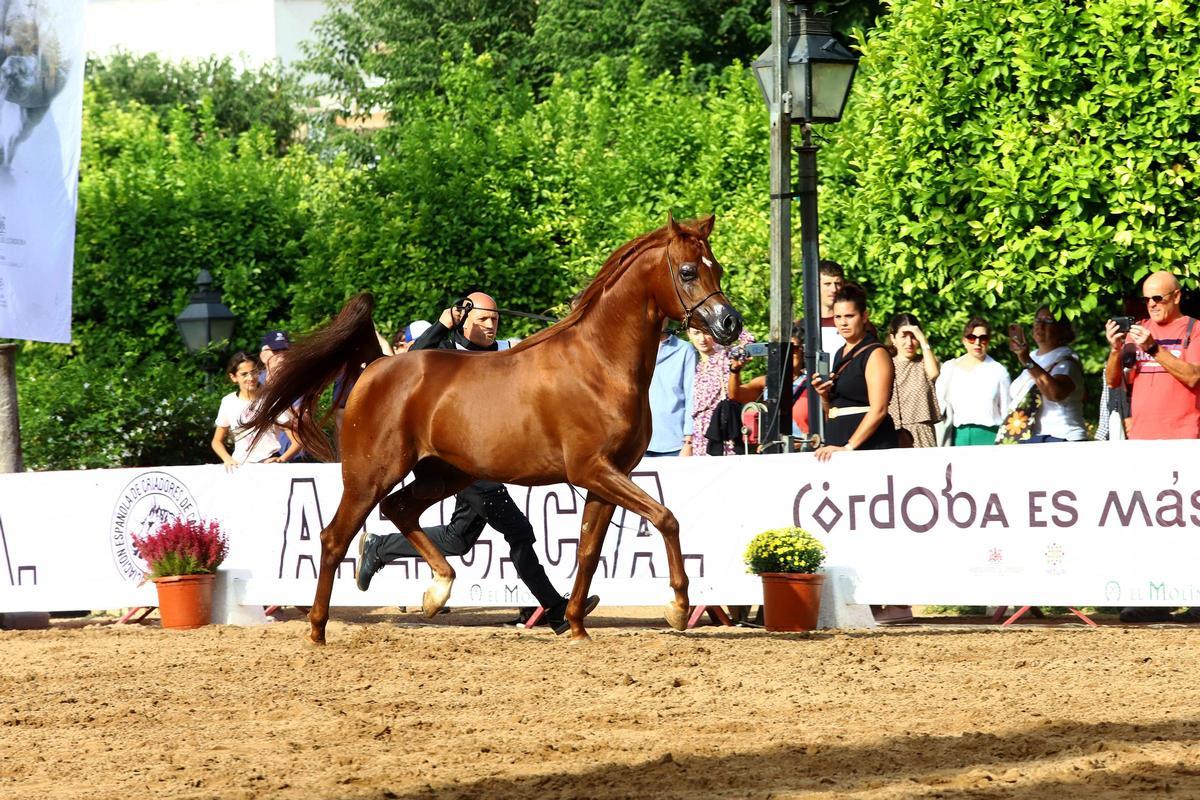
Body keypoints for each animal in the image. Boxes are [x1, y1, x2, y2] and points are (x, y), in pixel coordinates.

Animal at [248, 214, 743, 644]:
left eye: (716, 267)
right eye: (687, 271)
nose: (730, 324)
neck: (599, 364)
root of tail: (378, 366)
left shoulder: (608, 476)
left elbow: (588, 550)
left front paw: (576, 625)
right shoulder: (592, 469)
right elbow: (666, 518)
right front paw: (677, 607)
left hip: (444, 474)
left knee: (399, 511)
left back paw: (436, 592)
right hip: (370, 475)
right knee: (336, 537)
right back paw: (318, 630)